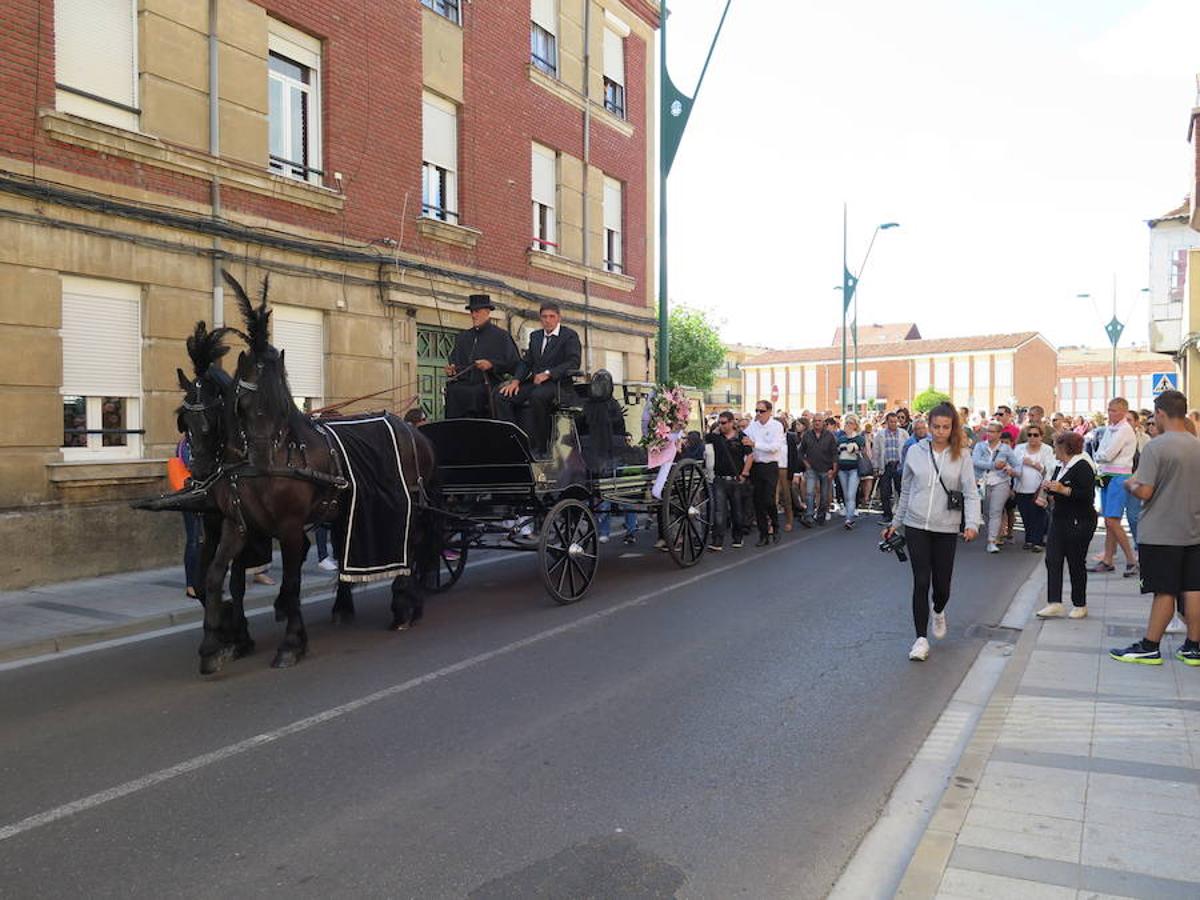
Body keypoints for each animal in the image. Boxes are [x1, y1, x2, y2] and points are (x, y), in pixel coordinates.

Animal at [199, 271, 439, 672]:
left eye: (281, 402)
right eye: (242, 402)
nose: (262, 459)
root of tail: (413, 429)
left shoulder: (291, 528)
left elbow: (292, 583)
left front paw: (291, 643)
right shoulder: (237, 525)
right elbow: (217, 577)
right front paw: (213, 646)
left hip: (409, 507)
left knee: (414, 547)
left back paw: (405, 606)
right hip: (348, 511)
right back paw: (353, 606)